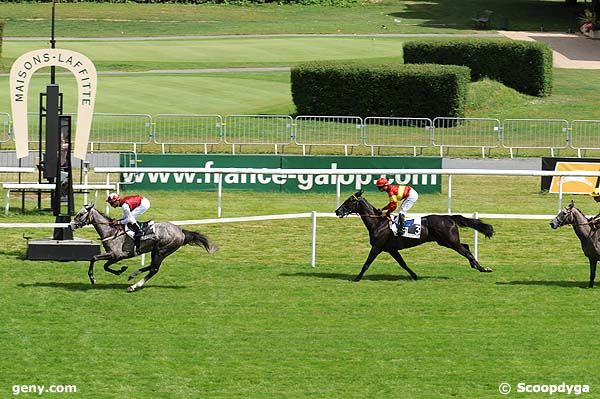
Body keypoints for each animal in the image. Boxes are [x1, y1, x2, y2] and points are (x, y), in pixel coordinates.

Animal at [69, 205, 218, 292]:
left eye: (80, 214)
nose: (70, 225)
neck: (111, 231)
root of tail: (181, 231)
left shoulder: (116, 254)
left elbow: (94, 258)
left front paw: (92, 278)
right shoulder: (115, 256)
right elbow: (105, 266)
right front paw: (121, 270)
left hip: (161, 251)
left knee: (154, 269)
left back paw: (134, 286)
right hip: (155, 251)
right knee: (152, 267)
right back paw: (133, 274)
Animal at [332, 191, 492, 282]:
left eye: (350, 201)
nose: (337, 211)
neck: (378, 223)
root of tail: (449, 217)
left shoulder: (377, 247)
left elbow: (366, 264)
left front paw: (357, 278)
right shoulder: (391, 249)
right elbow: (403, 263)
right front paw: (414, 275)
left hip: (450, 241)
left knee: (465, 251)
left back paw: (482, 268)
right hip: (446, 241)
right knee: (466, 246)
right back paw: (475, 265)